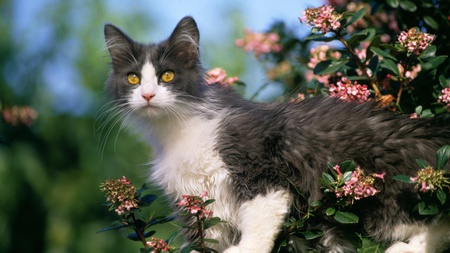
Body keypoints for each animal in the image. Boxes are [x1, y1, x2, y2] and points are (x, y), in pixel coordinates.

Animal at [103, 16, 450, 253]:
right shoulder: (200, 207)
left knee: (433, 222)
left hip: (387, 182)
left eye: (167, 76)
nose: (148, 95)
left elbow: (259, 220)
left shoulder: (263, 167)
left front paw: (244, 249)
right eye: (133, 78)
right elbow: (209, 238)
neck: (175, 130)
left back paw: (406, 247)